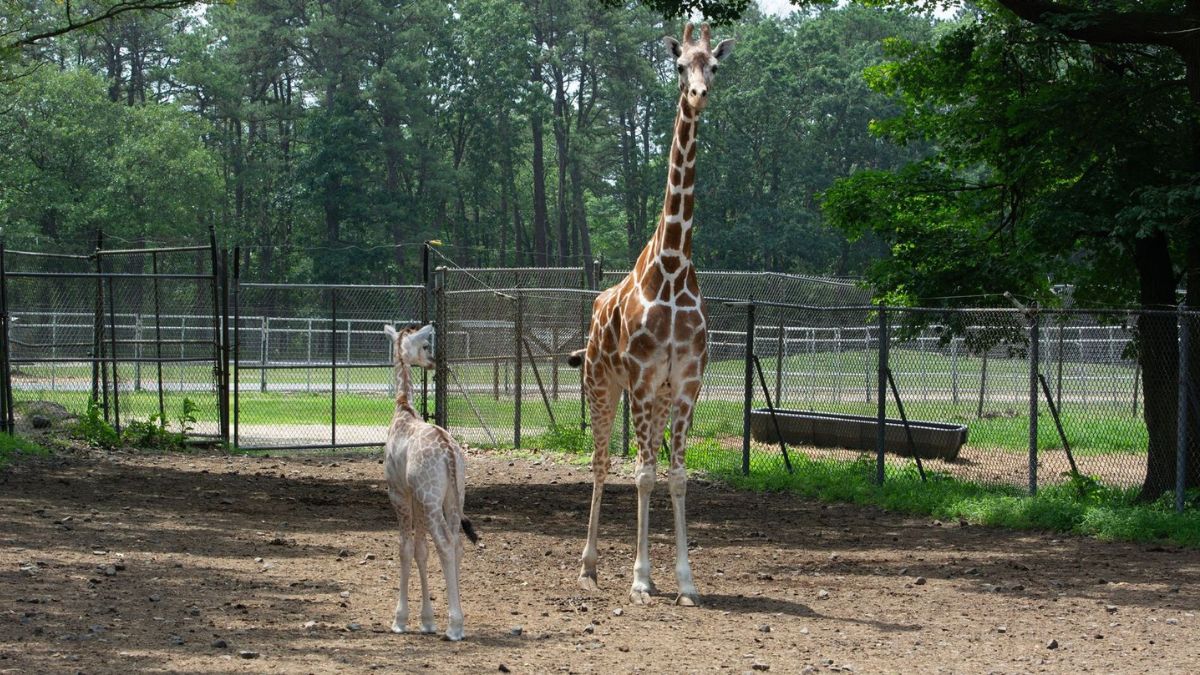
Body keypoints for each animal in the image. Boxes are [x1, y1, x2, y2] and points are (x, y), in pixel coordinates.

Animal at [382, 323, 479, 641]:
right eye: (426, 345)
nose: (433, 361)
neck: (402, 408)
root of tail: (449, 451)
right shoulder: (415, 498)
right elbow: (421, 551)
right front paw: (426, 620)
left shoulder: (399, 493)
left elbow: (405, 549)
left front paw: (400, 619)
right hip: (453, 497)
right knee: (457, 544)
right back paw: (455, 618)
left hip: (431, 498)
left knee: (445, 544)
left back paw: (455, 627)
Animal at [568, 22, 733, 606]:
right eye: (681, 65)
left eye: (714, 65)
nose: (699, 94)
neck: (673, 266)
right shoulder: (639, 380)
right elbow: (639, 474)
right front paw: (639, 579)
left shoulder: (683, 383)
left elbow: (676, 476)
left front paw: (685, 582)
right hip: (600, 384)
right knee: (600, 463)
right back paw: (589, 567)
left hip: (654, 399)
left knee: (649, 466)